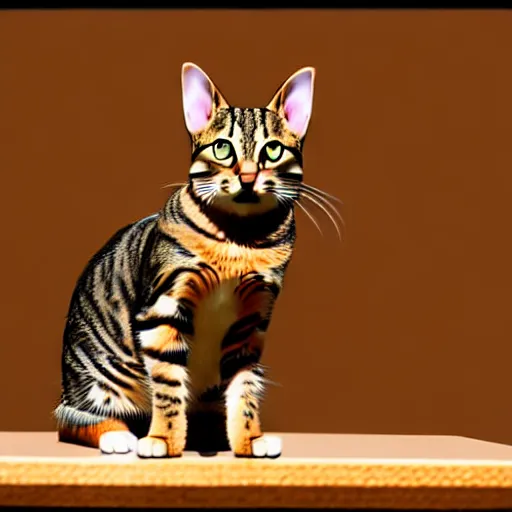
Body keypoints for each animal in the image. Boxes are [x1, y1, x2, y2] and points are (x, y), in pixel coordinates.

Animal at [55, 62, 324, 458]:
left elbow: (244, 391)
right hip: (97, 377)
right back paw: (118, 434)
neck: (240, 239)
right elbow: (168, 388)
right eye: (223, 148)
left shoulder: (250, 322)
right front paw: (163, 441)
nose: (247, 177)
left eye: (273, 150)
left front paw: (250, 440)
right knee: (72, 416)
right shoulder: (163, 308)